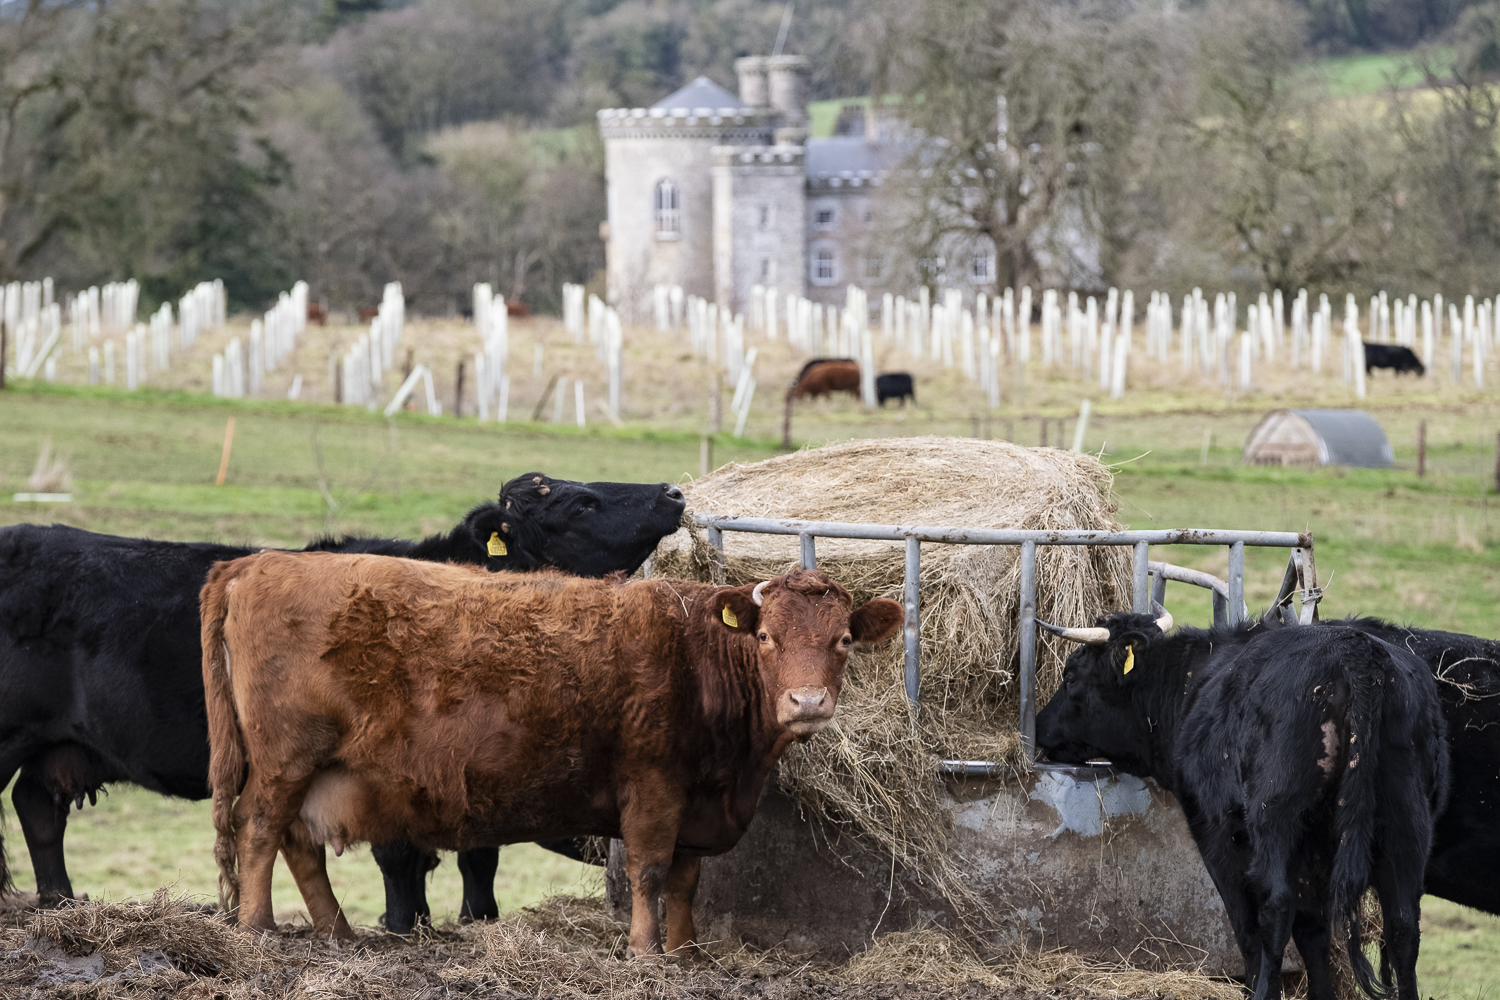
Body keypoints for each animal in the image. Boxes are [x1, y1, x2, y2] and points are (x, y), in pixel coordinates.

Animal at [0, 473, 687, 935]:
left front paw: (473, 921)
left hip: (56, 749)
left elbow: (477, 857)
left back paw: (60, 903)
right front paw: (405, 925)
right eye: (581, 503)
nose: (673, 494)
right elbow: (402, 857)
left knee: (37, 806)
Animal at [202, 554, 900, 953]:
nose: (807, 701)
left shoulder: (695, 804)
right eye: (766, 637)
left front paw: (685, 952)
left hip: (311, 772)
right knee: (259, 829)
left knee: (298, 843)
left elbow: (684, 882)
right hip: (286, 761)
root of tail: (256, 561)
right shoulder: (653, 786)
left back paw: (337, 932)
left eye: (842, 640)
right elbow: (650, 871)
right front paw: (646, 953)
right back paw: (259, 931)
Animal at [1038, 605, 1446, 1000]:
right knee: (1403, 925)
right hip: (1407, 823)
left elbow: (1247, 925)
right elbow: (1313, 928)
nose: (1040, 723)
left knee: (1275, 907)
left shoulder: (1216, 830)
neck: (1190, 685)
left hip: (1276, 817)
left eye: (1071, 676)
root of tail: (1358, 652)